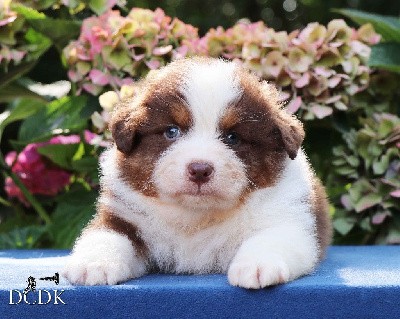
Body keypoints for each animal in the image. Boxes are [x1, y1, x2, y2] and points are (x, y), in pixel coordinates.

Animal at [62, 57, 332, 290]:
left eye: (233, 137)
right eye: (172, 131)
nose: (200, 170)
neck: (196, 216)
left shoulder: (290, 219)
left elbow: (272, 238)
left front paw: (257, 266)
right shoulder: (123, 216)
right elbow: (106, 235)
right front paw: (93, 264)